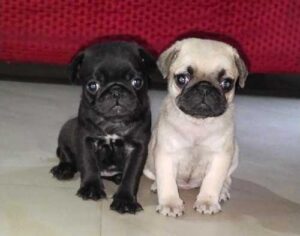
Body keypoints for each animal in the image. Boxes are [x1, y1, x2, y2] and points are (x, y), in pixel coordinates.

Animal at [51, 40, 162, 214]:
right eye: (92, 85)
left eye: (137, 82)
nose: (116, 90)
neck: (113, 123)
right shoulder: (86, 140)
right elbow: (88, 164)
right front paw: (91, 188)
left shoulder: (137, 147)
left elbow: (131, 174)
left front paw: (125, 200)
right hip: (66, 131)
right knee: (66, 155)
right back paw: (64, 169)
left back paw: (117, 177)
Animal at [144, 37, 247, 217]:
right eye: (182, 79)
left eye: (226, 83)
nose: (204, 87)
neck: (198, 122)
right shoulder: (166, 155)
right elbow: (167, 181)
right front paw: (170, 203)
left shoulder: (220, 157)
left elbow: (212, 181)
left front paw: (207, 202)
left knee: (226, 180)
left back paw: (222, 192)